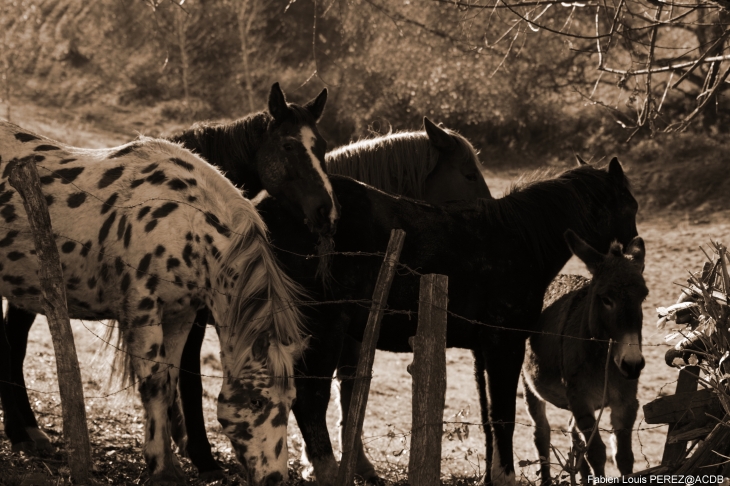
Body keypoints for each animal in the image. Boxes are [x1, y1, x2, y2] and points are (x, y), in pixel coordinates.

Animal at [520, 230, 644, 484]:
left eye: (643, 297)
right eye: (606, 299)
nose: (632, 364)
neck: (604, 361)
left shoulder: (626, 402)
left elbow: (624, 456)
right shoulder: (581, 401)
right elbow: (596, 453)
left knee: (573, 435)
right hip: (530, 385)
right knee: (541, 434)